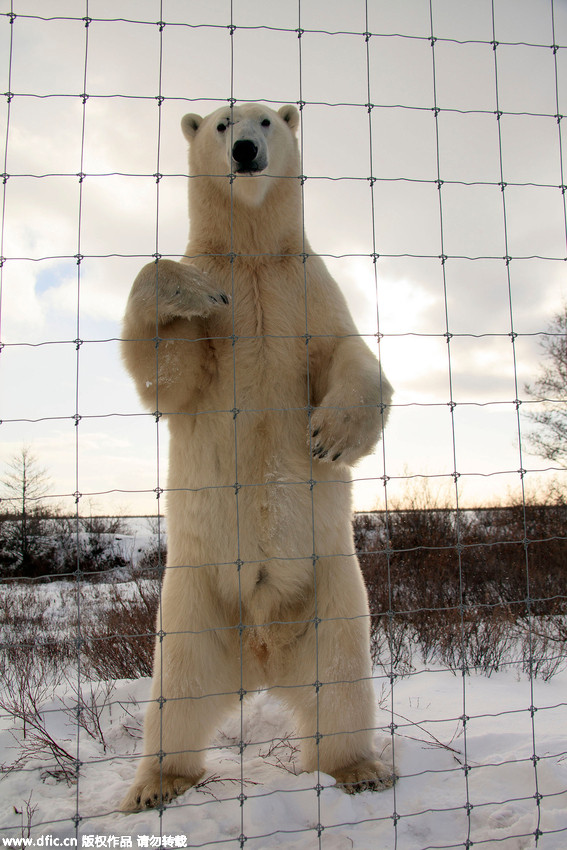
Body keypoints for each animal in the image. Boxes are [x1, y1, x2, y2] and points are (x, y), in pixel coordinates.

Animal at [120, 101, 394, 808]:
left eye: (267, 120)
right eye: (221, 125)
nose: (245, 150)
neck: (252, 259)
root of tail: (263, 649)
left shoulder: (307, 287)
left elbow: (349, 354)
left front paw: (331, 436)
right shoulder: (224, 307)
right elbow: (168, 372)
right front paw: (188, 293)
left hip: (333, 594)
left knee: (341, 688)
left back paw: (359, 769)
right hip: (193, 605)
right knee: (178, 696)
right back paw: (156, 783)